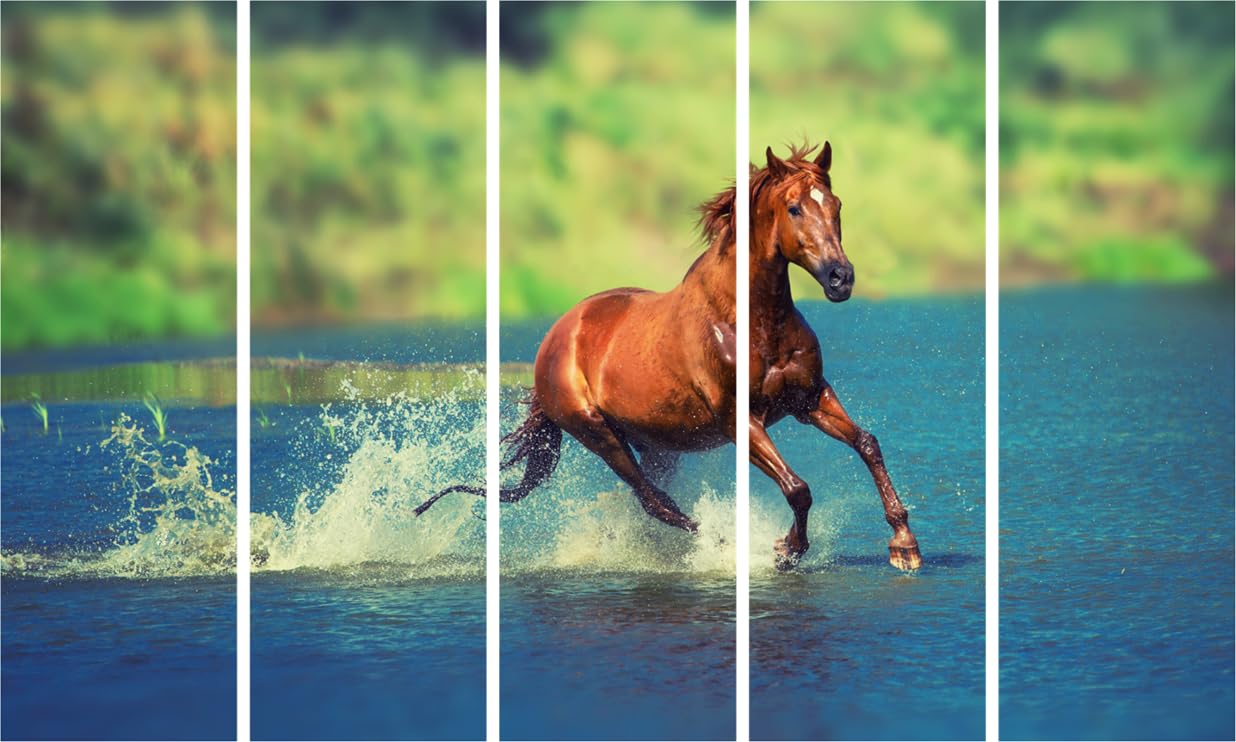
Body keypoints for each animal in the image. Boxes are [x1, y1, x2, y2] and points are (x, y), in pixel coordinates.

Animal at [416, 141, 921, 571]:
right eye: (794, 207)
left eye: (836, 206)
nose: (841, 278)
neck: (750, 320)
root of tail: (555, 339)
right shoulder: (740, 420)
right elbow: (798, 488)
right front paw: (785, 550)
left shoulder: (809, 398)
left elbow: (867, 444)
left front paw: (904, 546)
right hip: (598, 433)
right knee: (654, 500)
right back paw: (722, 544)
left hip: (656, 443)